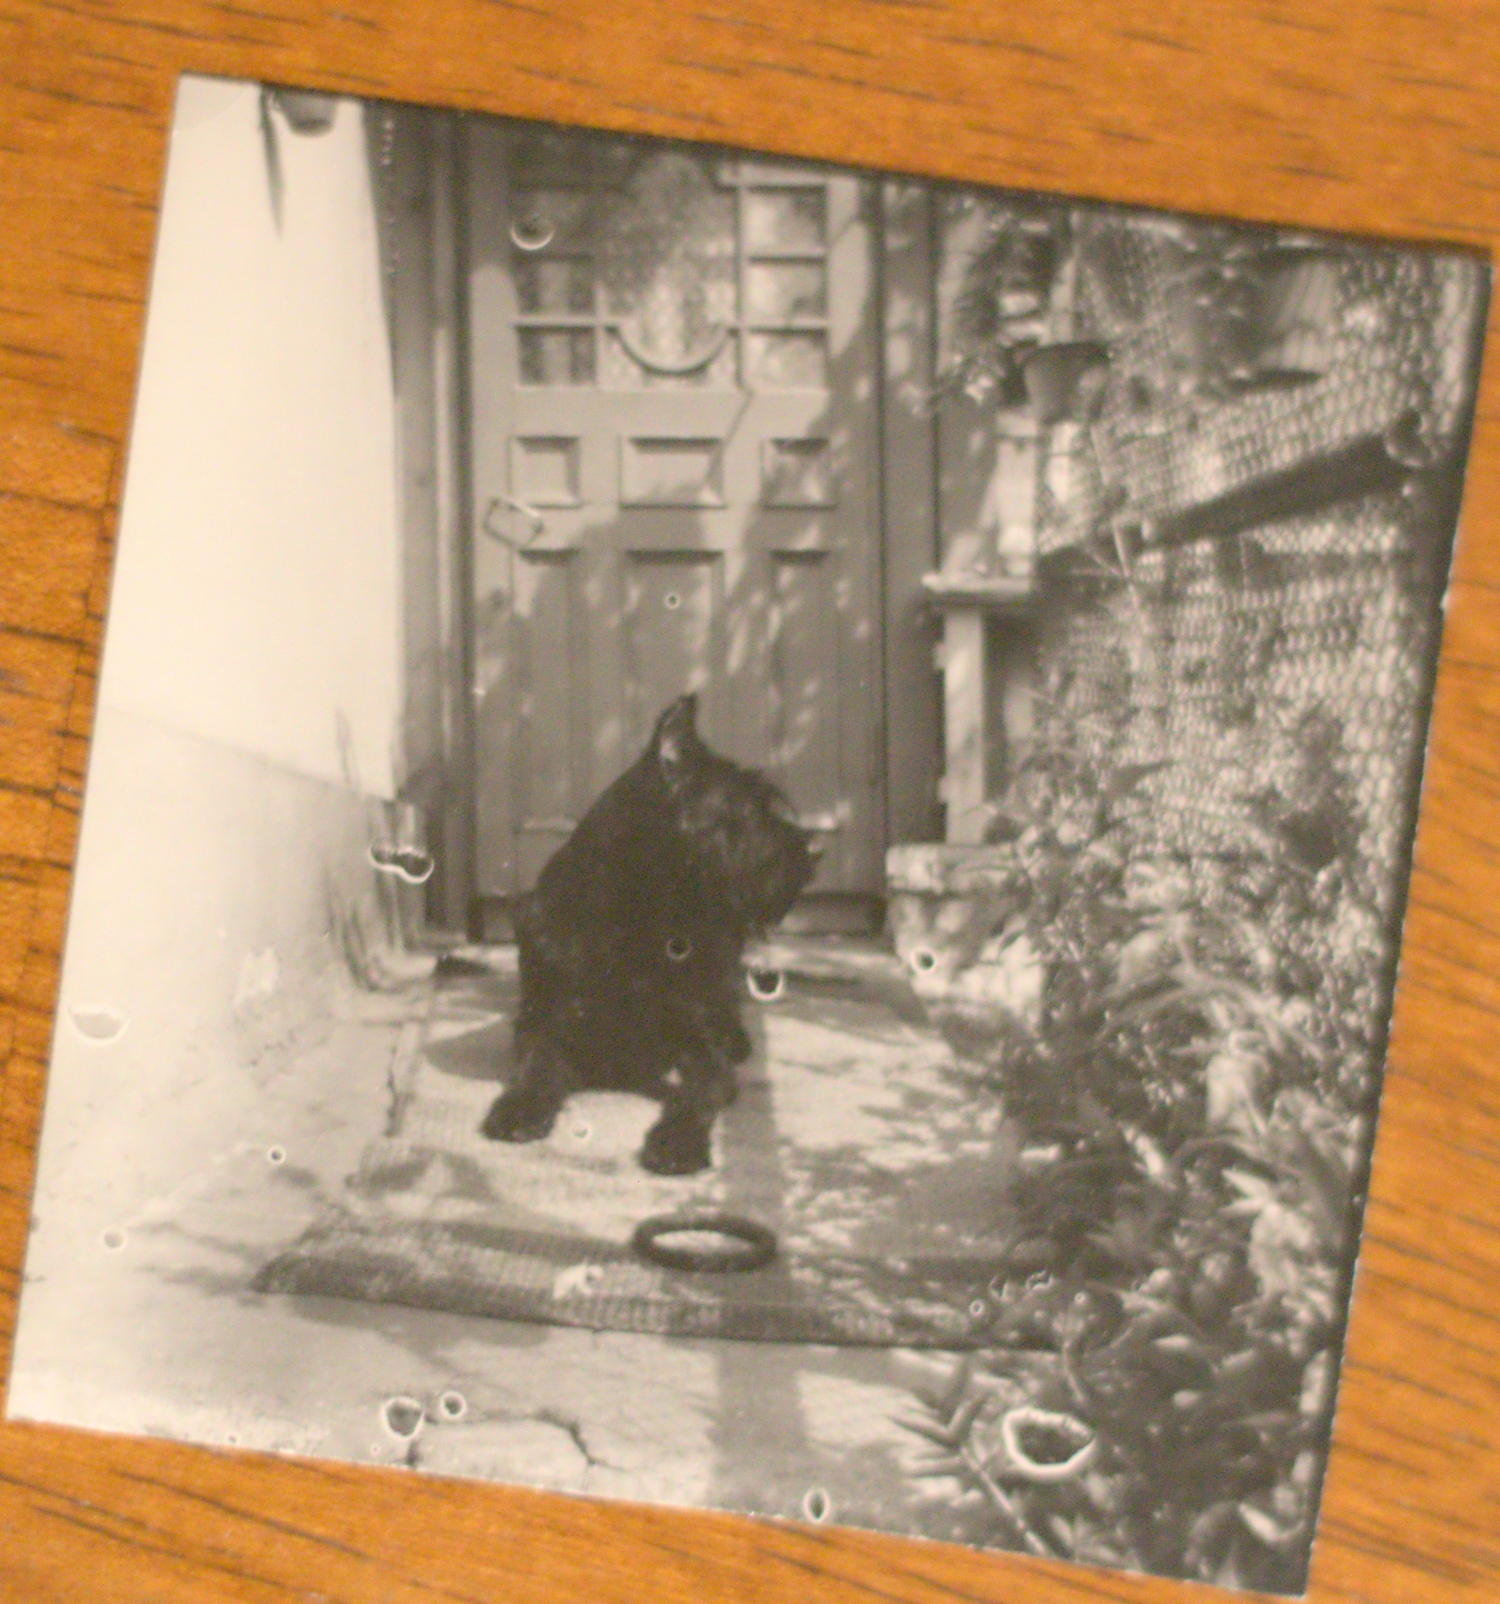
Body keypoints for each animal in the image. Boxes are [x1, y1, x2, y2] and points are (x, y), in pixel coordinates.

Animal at [481, 696, 814, 1174]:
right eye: (750, 810)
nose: (813, 851)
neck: (633, 911)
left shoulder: (699, 1045)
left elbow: (700, 1090)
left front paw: (677, 1141)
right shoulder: (543, 1023)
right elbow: (536, 1065)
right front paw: (519, 1106)